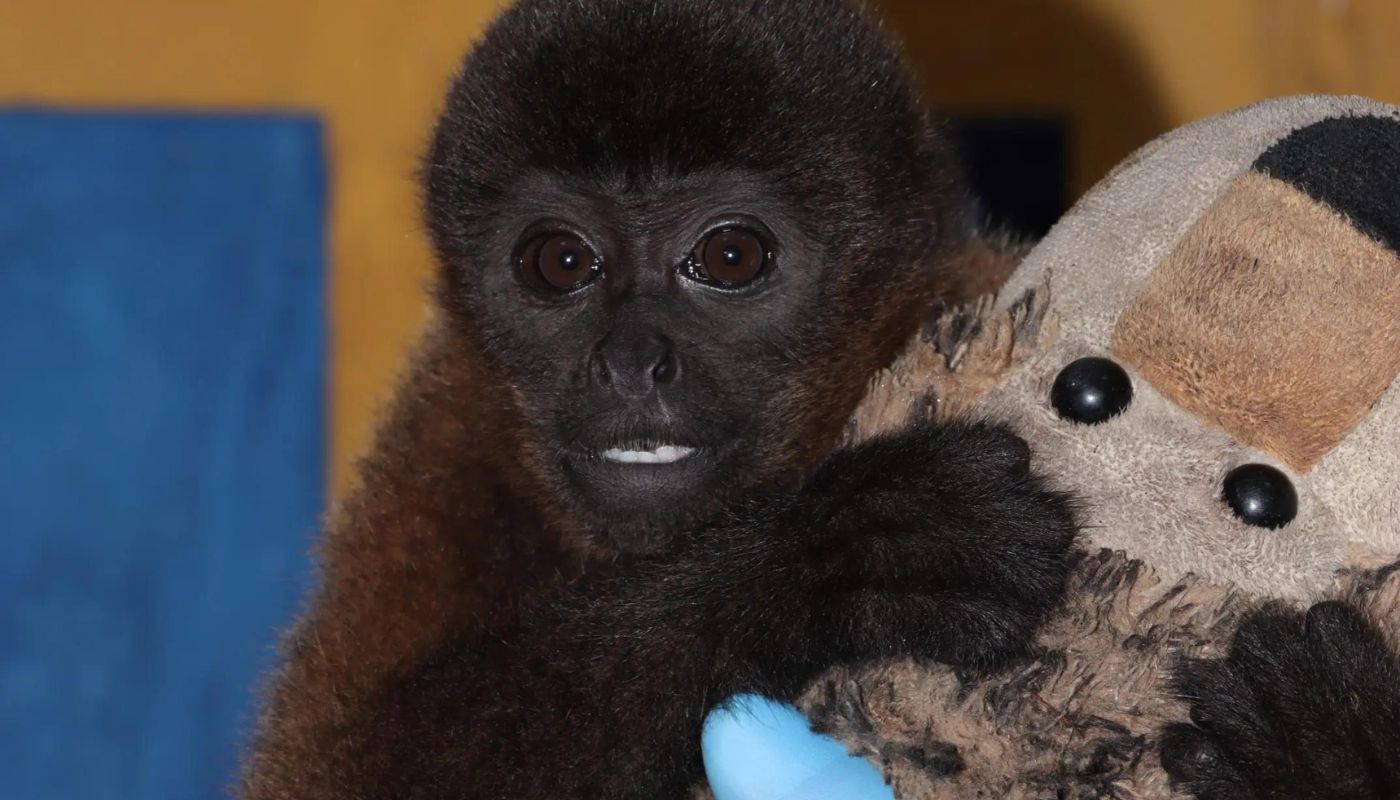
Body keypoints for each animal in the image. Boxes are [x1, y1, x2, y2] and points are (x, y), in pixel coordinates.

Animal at [238, 1, 1078, 798]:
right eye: (561, 261)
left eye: (730, 257)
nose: (631, 364)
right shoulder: (441, 440)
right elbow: (333, 768)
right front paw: (839, 553)